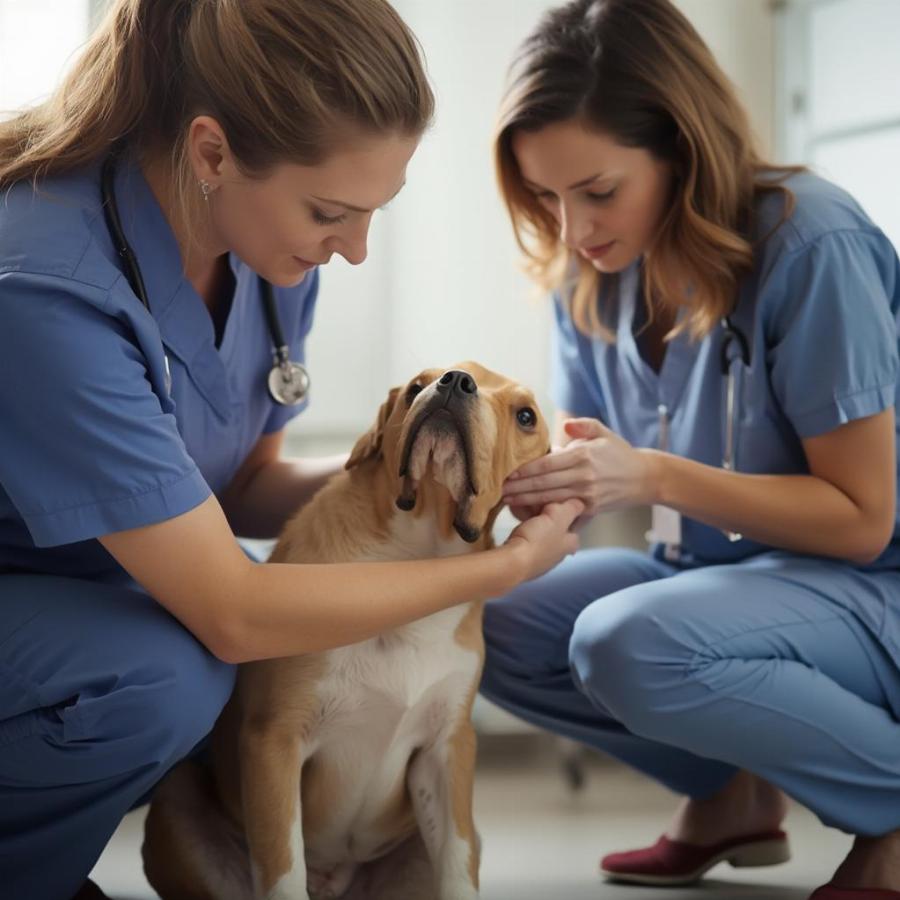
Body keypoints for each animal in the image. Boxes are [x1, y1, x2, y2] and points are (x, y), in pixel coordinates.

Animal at [142, 362, 548, 896]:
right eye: (417, 386)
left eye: (526, 416)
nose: (456, 382)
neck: (415, 557)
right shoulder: (275, 740)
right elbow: (282, 871)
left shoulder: (446, 750)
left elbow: (458, 868)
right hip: (176, 797)